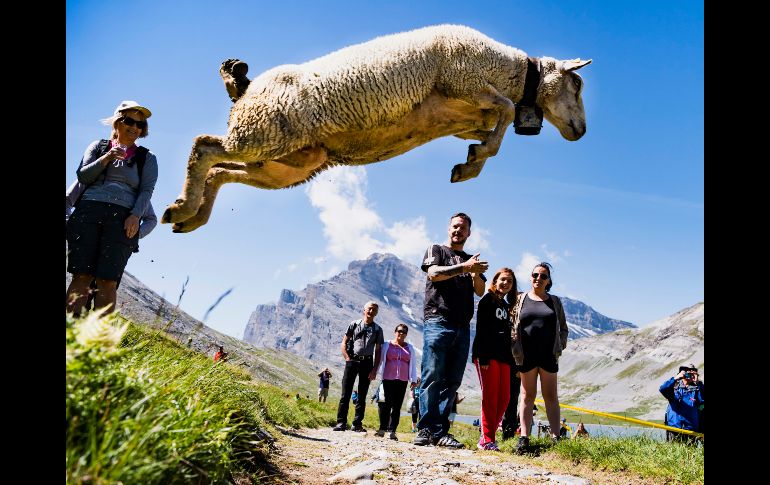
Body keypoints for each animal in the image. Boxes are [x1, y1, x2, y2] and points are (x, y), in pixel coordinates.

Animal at [162, 24, 591, 232]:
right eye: (577, 83)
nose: (582, 131)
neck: (510, 71)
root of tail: (246, 90)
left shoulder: (468, 114)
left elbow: (495, 128)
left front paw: (470, 162)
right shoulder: (462, 78)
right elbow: (504, 112)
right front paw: (473, 162)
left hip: (287, 163)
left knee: (220, 171)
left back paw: (189, 216)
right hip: (263, 131)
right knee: (204, 147)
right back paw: (183, 206)